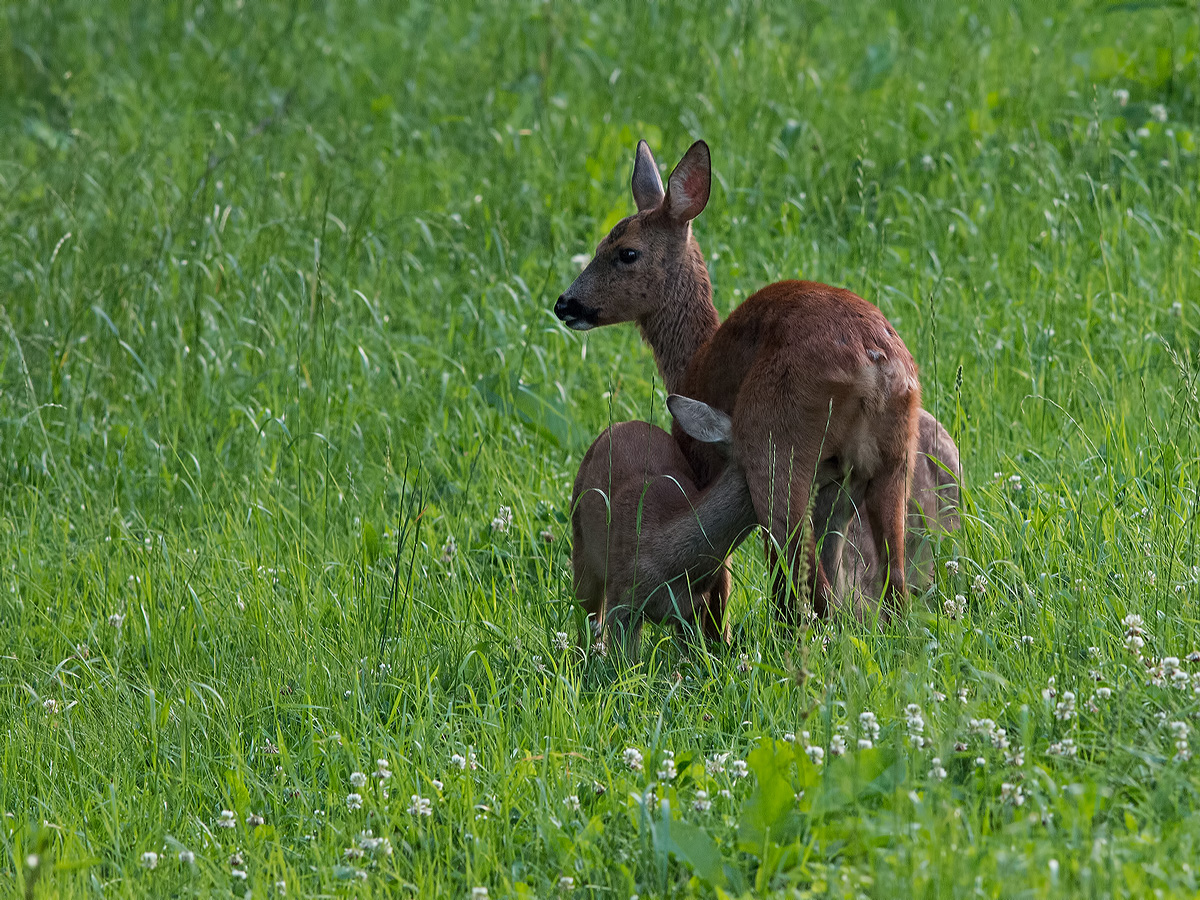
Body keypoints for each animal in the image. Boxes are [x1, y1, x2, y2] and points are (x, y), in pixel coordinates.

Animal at [556, 141, 921, 628]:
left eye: (626, 252)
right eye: (598, 245)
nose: (565, 303)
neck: (691, 362)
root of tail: (873, 360)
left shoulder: (704, 461)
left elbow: (722, 577)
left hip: (777, 449)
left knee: (807, 580)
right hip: (894, 458)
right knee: (894, 583)